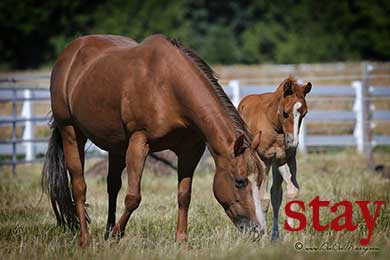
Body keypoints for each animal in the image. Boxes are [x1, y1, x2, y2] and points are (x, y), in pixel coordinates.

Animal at [42, 34, 266, 248]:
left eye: (260, 181)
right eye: (240, 181)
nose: (258, 229)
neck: (168, 86)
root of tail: (70, 53)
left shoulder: (190, 150)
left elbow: (184, 195)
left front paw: (182, 240)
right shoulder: (139, 142)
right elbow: (133, 197)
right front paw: (117, 234)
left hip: (116, 146)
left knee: (112, 186)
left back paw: (106, 231)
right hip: (71, 132)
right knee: (79, 187)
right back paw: (85, 239)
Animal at [238, 76, 310, 240]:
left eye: (304, 113)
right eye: (285, 112)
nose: (293, 142)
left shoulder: (286, 159)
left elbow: (291, 192)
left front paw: (291, 235)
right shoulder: (263, 160)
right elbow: (263, 199)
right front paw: (263, 236)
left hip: (277, 164)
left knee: (276, 194)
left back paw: (275, 236)